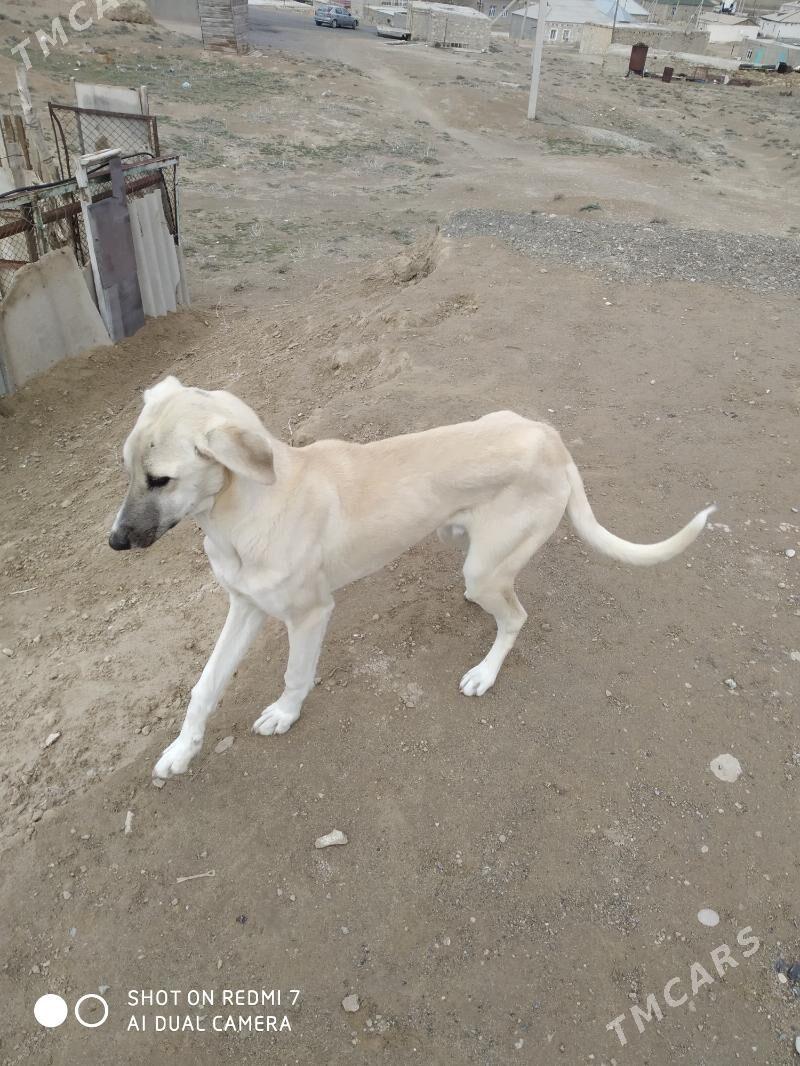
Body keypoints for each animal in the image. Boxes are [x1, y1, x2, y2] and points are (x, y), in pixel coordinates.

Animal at [109, 377, 713, 780]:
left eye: (161, 479)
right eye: (126, 469)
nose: (114, 542)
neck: (250, 507)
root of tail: (551, 437)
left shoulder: (309, 615)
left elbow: (295, 675)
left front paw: (284, 714)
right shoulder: (245, 606)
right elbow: (204, 687)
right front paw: (181, 751)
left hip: (484, 569)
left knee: (516, 616)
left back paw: (485, 672)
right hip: (478, 540)